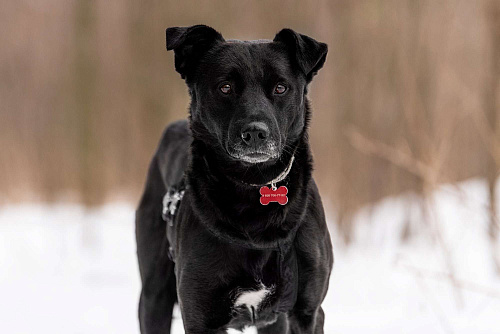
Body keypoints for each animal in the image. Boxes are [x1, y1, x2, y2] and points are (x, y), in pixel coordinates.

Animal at [135, 24, 334, 332]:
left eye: (280, 87)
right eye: (225, 87)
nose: (255, 133)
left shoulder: (306, 312)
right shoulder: (200, 317)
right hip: (154, 294)